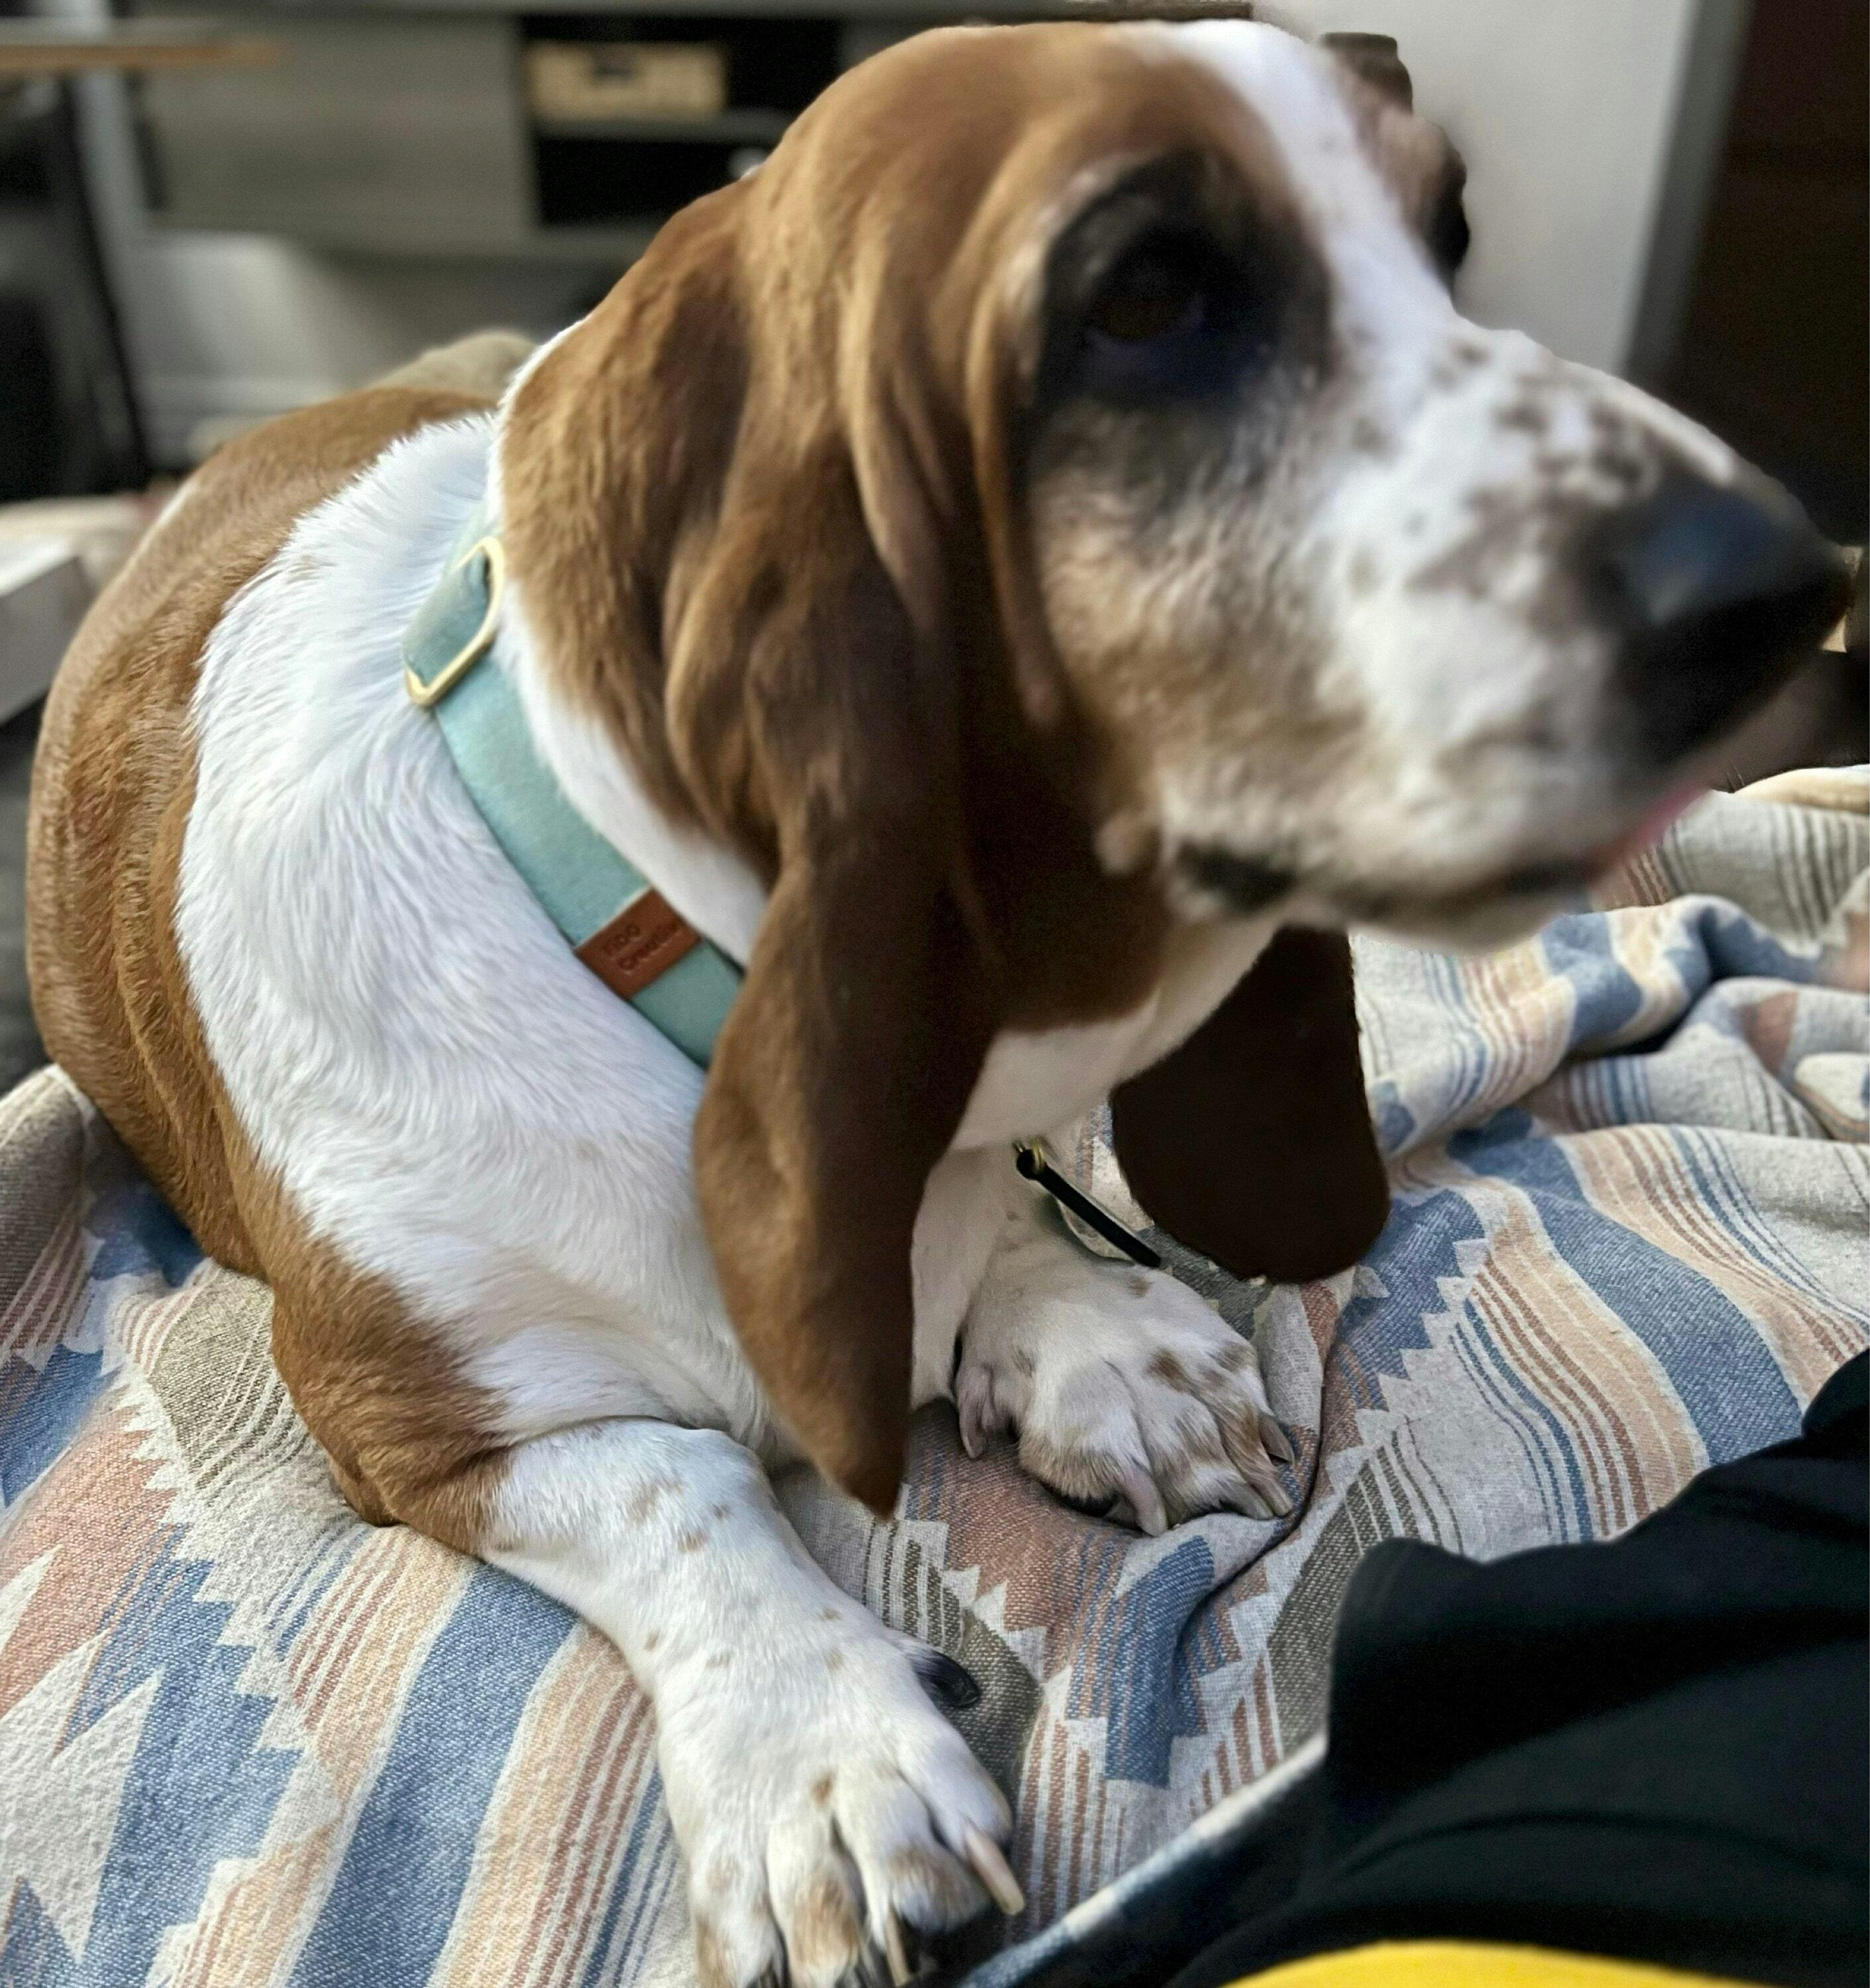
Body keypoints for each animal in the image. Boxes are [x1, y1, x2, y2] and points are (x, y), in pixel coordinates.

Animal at [26, 20, 1846, 1985]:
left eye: (1446, 236)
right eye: (1142, 298)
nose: (1797, 588)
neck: (669, 1002)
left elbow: (1008, 1221)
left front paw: (1094, 1334)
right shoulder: (412, 1418)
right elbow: (680, 1485)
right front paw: (820, 1761)